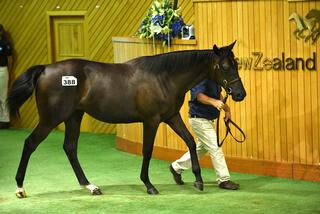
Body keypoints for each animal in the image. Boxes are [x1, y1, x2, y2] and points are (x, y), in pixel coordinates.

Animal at [8, 41, 246, 198]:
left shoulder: (171, 116)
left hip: (74, 116)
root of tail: (45, 69)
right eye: (225, 67)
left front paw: (195, 179)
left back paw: (91, 186)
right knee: (30, 143)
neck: (163, 77)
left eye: (236, 64)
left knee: (70, 148)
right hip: (51, 119)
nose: (240, 94)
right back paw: (19, 188)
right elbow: (147, 150)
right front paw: (149, 185)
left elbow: (188, 140)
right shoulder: (151, 121)